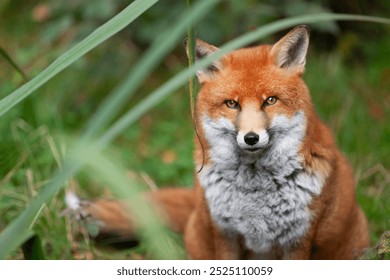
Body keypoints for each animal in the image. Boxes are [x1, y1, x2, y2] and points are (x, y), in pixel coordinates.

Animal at [73, 26, 368, 260]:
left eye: (270, 100)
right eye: (232, 104)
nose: (251, 137)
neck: (254, 194)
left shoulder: (298, 239)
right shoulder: (225, 234)